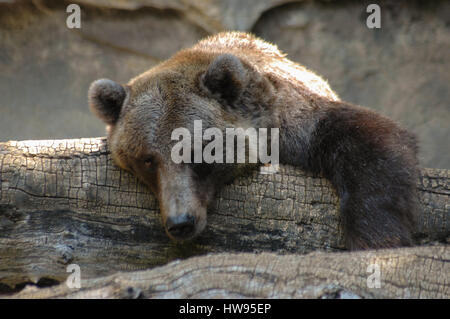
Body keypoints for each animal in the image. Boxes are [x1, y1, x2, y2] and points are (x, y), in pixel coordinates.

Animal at [88, 31, 418, 250]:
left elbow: (369, 142)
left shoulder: (299, 121)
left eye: (198, 151)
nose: (181, 222)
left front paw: (375, 240)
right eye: (147, 159)